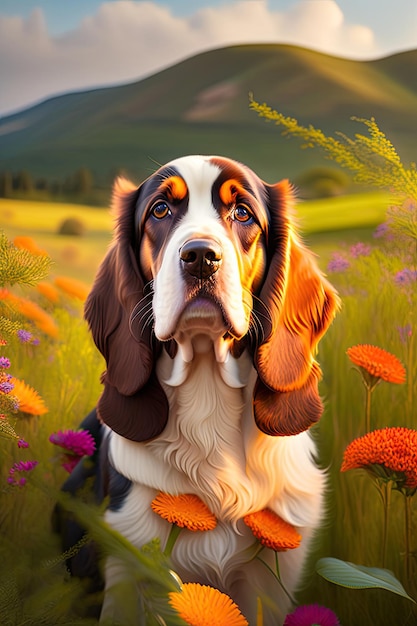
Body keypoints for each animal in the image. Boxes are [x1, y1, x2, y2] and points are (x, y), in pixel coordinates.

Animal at [73, 154, 338, 620]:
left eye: (243, 213)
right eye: (160, 210)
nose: (200, 257)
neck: (206, 396)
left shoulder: (271, 582)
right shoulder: (126, 566)